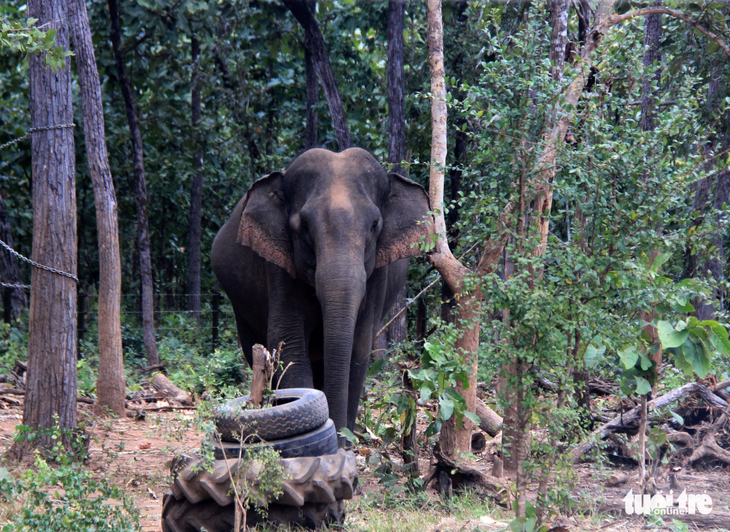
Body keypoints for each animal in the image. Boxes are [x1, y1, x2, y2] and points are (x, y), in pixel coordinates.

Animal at [209, 147, 432, 436]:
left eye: (374, 225)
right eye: (303, 226)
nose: (335, 431)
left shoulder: (377, 273)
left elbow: (359, 347)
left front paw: (344, 440)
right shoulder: (279, 264)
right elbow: (288, 342)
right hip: (240, 306)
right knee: (252, 347)